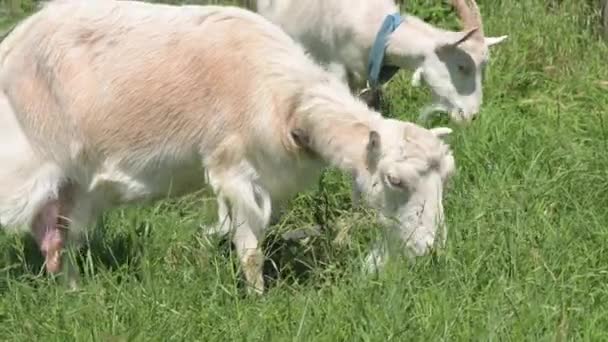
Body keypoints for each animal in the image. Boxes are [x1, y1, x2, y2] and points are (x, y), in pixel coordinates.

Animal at [0, 0, 456, 294]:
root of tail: (11, 44)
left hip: (75, 183)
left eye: (446, 178)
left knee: (56, 239)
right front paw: (257, 299)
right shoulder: (232, 167)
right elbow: (249, 247)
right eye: (395, 180)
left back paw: (73, 291)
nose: (430, 249)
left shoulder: (269, 177)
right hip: (22, 165)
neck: (288, 102)